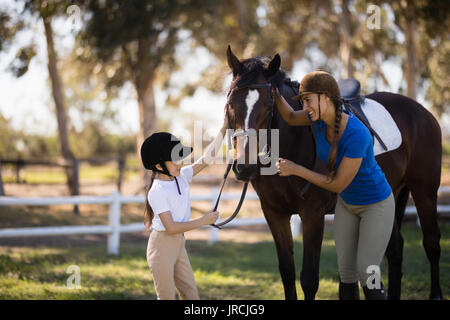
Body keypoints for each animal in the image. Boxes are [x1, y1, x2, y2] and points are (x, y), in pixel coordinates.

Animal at [225, 45, 442, 300]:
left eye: (268, 106)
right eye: (231, 103)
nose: (244, 167)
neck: (295, 140)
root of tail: (421, 112)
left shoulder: (313, 214)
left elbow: (309, 279)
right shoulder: (274, 213)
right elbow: (287, 272)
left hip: (425, 192)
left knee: (432, 244)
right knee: (395, 249)